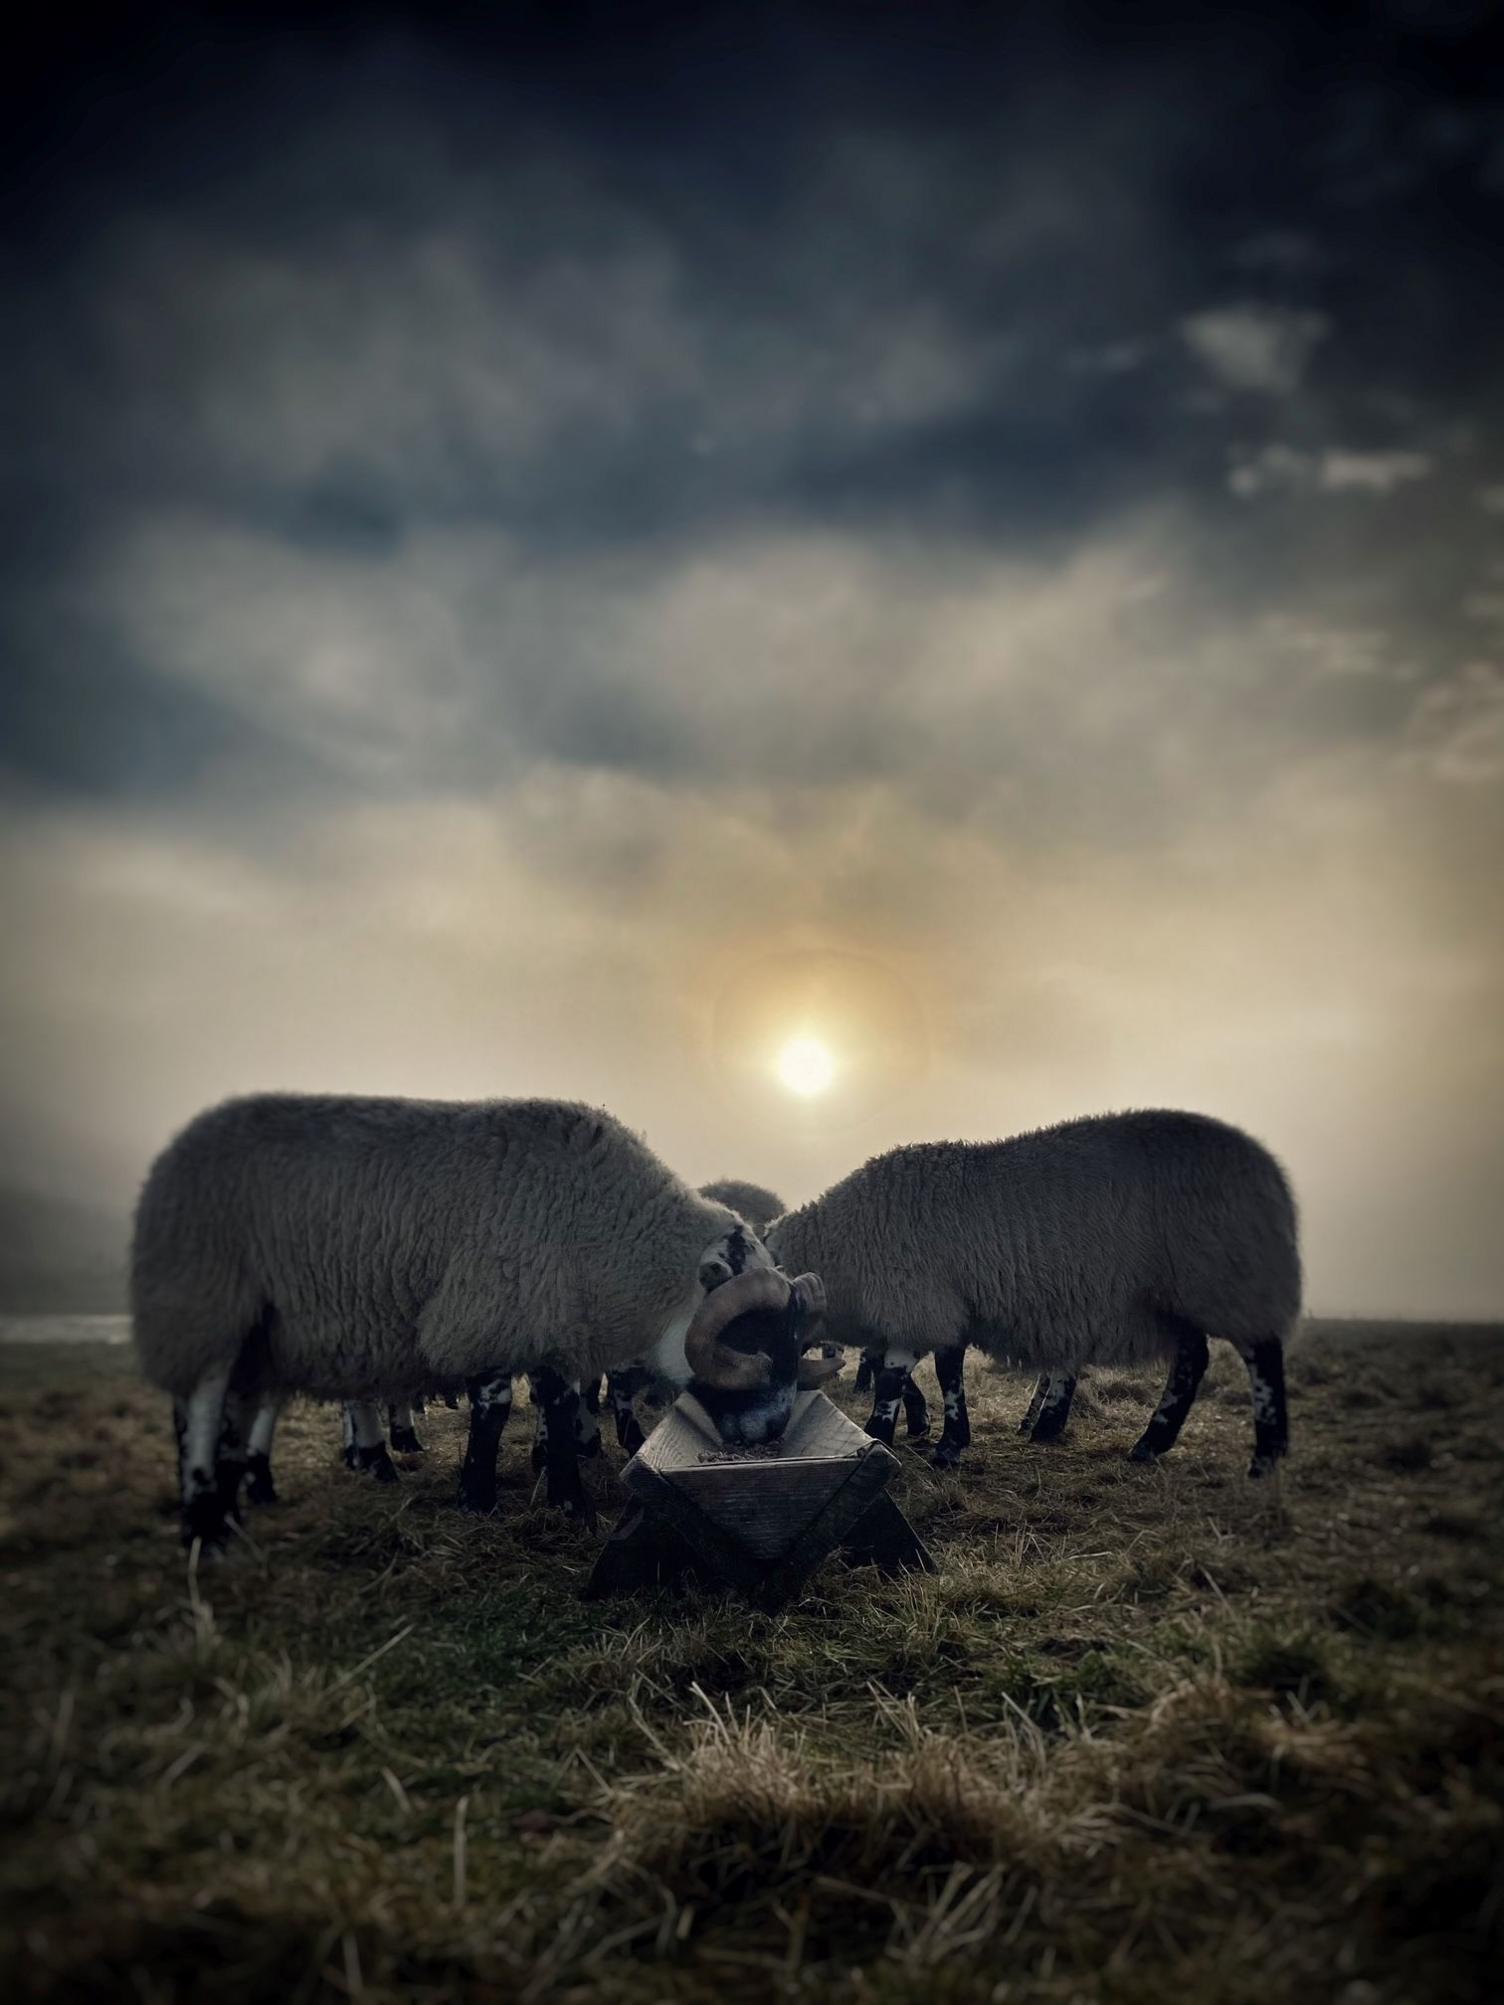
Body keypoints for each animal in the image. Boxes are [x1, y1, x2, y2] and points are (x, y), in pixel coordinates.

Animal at [132, 1098, 826, 1547]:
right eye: (750, 1335)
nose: (774, 1431)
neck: (616, 1235)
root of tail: (176, 1151)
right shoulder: (493, 1308)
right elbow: (493, 1410)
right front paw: (479, 1499)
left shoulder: (549, 1322)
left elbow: (558, 1406)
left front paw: (569, 1502)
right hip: (209, 1300)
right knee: (203, 1406)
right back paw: (207, 1522)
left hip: (258, 1333)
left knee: (231, 1410)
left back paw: (238, 1500)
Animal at [770, 1106, 1299, 1483]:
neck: (844, 1241)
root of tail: (1267, 1168)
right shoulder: (936, 1306)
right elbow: (929, 1373)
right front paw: (931, 1438)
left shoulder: (920, 1300)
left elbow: (909, 1376)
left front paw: (905, 1438)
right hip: (1177, 1297)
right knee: (1192, 1359)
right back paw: (1150, 1444)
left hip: (1225, 1277)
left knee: (1261, 1354)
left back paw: (1265, 1458)